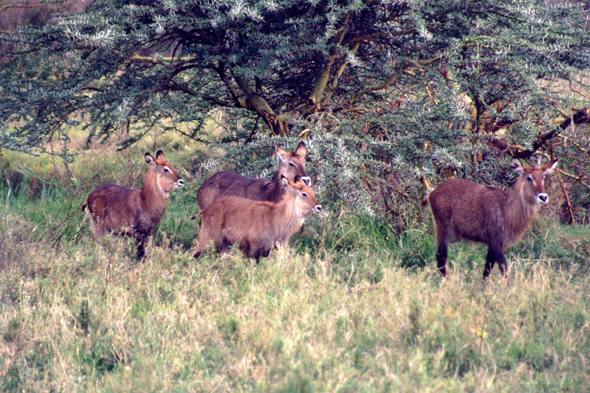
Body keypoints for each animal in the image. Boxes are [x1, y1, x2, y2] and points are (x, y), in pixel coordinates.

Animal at [193, 174, 324, 260]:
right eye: (304, 194)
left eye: (312, 191)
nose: (319, 207)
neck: (276, 216)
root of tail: (207, 208)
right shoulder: (253, 248)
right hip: (208, 239)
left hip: (225, 244)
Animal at [426, 157, 560, 278]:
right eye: (529, 178)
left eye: (543, 177)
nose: (543, 197)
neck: (506, 209)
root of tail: (432, 193)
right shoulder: (496, 242)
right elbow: (504, 268)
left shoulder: (493, 244)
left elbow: (487, 269)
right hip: (443, 230)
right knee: (441, 258)